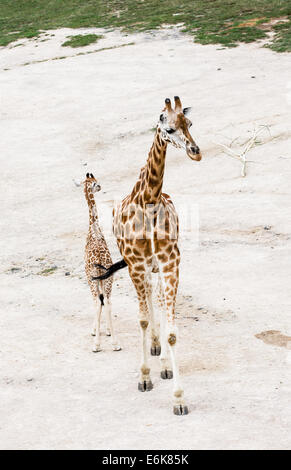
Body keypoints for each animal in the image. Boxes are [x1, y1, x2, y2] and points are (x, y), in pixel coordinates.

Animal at [94, 96, 202, 414]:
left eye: (189, 123)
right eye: (168, 128)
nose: (195, 152)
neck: (149, 200)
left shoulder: (170, 263)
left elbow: (171, 330)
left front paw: (178, 397)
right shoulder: (136, 264)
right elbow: (142, 320)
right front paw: (144, 377)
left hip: (156, 268)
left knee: (158, 299)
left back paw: (162, 360)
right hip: (140, 268)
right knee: (150, 303)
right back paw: (153, 349)